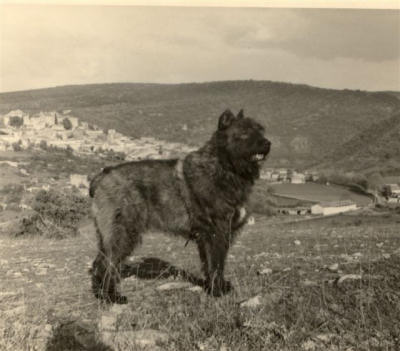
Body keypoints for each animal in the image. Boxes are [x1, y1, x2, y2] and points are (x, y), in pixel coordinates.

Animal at [90, 108, 270, 304]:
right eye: (244, 132)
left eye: (260, 130)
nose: (267, 143)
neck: (223, 166)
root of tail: (103, 176)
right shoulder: (216, 233)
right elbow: (216, 263)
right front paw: (217, 291)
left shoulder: (209, 237)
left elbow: (211, 264)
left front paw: (215, 287)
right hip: (122, 234)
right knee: (108, 264)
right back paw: (111, 297)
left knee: (100, 263)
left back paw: (101, 294)